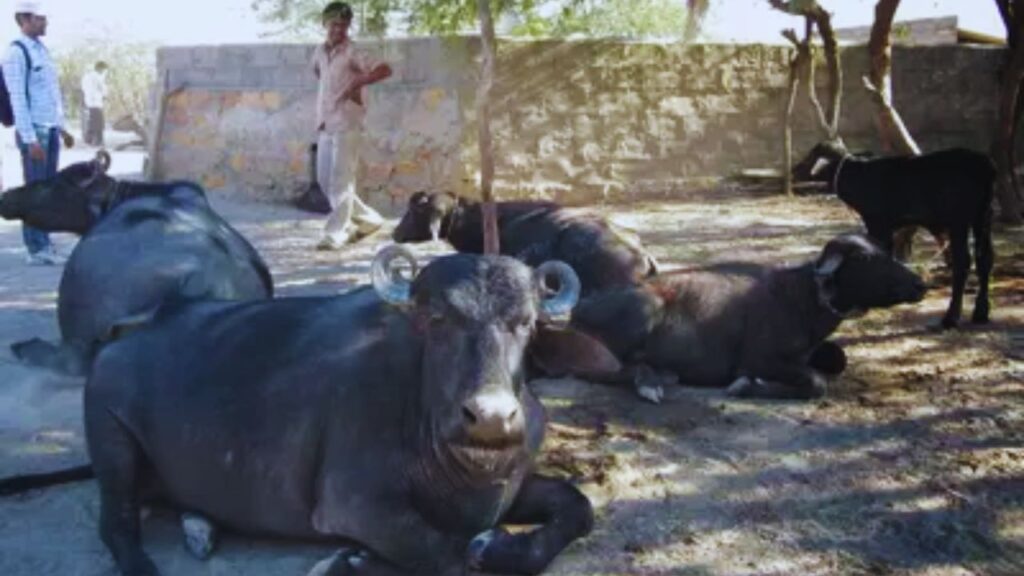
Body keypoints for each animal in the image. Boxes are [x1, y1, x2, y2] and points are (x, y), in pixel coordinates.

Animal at [85, 247, 611, 576]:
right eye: (436, 318)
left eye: (526, 324)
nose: (491, 418)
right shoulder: (355, 505)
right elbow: (449, 556)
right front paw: (351, 561)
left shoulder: (511, 489)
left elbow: (578, 508)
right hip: (111, 434)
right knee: (115, 523)